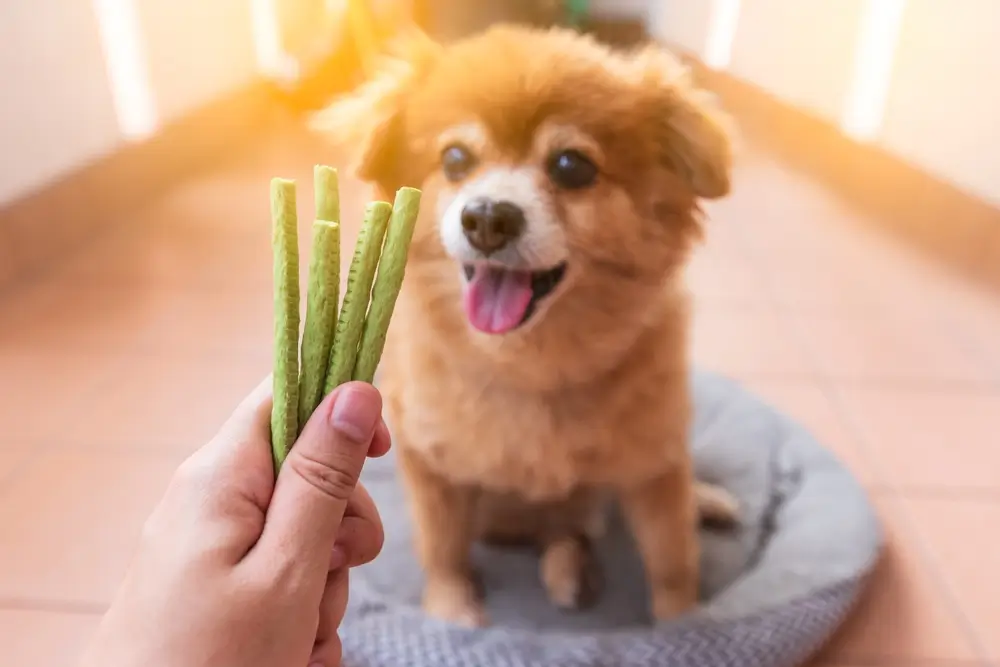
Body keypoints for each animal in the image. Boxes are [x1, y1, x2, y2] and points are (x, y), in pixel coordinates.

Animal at [316, 23, 740, 628]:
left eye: (571, 166)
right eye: (455, 159)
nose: (488, 216)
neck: (531, 365)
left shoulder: (652, 468)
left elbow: (672, 555)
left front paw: (683, 622)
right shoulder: (432, 464)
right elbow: (442, 545)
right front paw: (451, 610)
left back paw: (701, 502)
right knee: (561, 530)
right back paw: (566, 570)